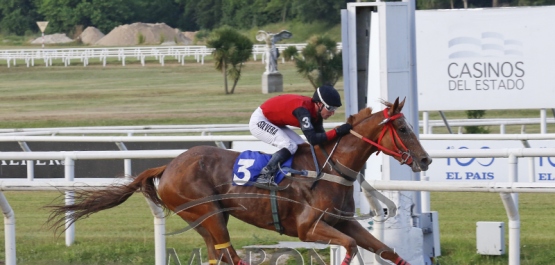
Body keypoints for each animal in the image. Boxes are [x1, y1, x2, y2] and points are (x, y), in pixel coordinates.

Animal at [45, 97, 432, 264]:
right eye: (401, 128)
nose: (426, 160)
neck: (330, 168)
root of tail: (167, 166)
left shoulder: (343, 223)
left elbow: (387, 251)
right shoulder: (309, 228)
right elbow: (350, 248)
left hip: (204, 220)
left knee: (218, 256)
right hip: (210, 214)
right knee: (229, 254)